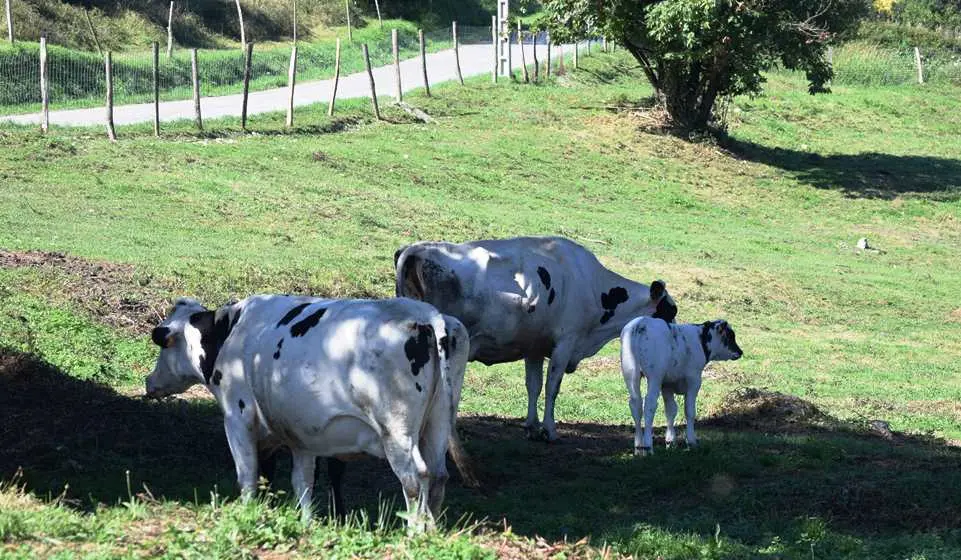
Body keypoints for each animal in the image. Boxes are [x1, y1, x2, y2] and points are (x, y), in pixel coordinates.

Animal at [144, 296, 470, 532]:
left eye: (164, 347)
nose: (149, 382)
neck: (232, 332)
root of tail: (428, 315)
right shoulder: (301, 436)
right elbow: (301, 482)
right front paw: (306, 523)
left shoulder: (237, 418)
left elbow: (248, 475)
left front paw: (247, 513)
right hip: (439, 421)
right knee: (438, 474)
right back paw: (431, 530)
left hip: (397, 432)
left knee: (415, 477)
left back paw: (414, 532)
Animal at [394, 236, 680, 442]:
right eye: (670, 311)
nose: (676, 340)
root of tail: (417, 248)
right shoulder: (566, 342)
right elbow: (553, 387)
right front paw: (549, 430)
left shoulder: (534, 346)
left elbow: (534, 385)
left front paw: (531, 425)